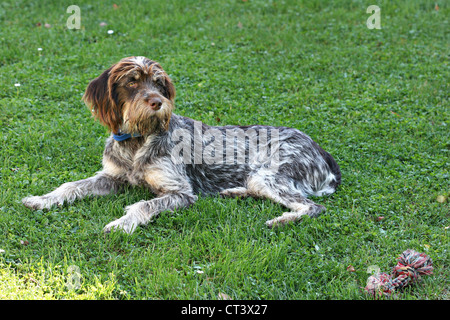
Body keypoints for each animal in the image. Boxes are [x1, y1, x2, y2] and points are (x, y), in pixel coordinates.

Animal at [22, 56, 342, 234]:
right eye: (132, 82)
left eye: (159, 83)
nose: (158, 102)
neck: (137, 139)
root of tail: (324, 154)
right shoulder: (112, 177)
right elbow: (71, 186)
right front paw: (43, 199)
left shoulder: (180, 192)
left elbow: (143, 204)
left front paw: (123, 224)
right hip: (259, 178)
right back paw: (235, 192)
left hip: (268, 175)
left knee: (313, 207)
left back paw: (281, 221)